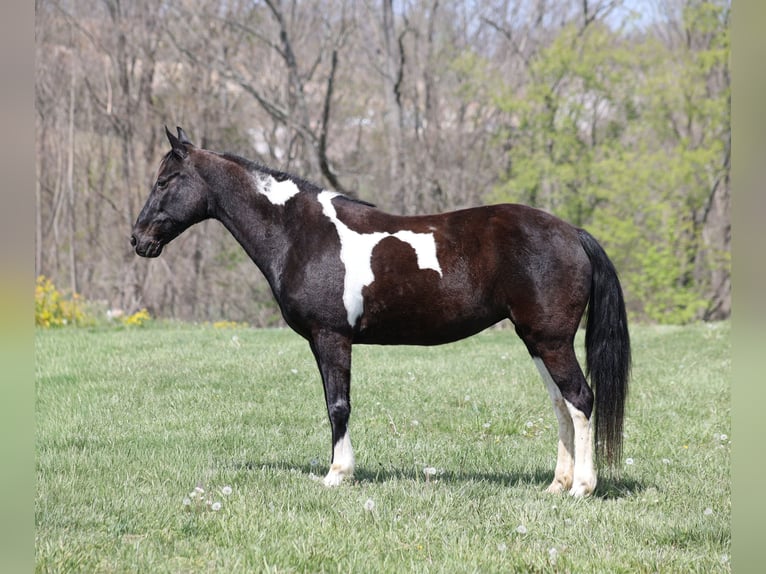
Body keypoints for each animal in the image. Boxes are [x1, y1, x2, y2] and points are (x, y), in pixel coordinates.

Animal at [131, 127, 630, 497]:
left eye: (164, 182)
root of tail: (572, 232)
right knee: (561, 404)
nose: (138, 240)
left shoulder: (331, 336)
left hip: (551, 340)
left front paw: (337, 474)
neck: (301, 233)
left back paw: (581, 488)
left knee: (581, 400)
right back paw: (556, 484)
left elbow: (338, 405)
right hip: (535, 340)